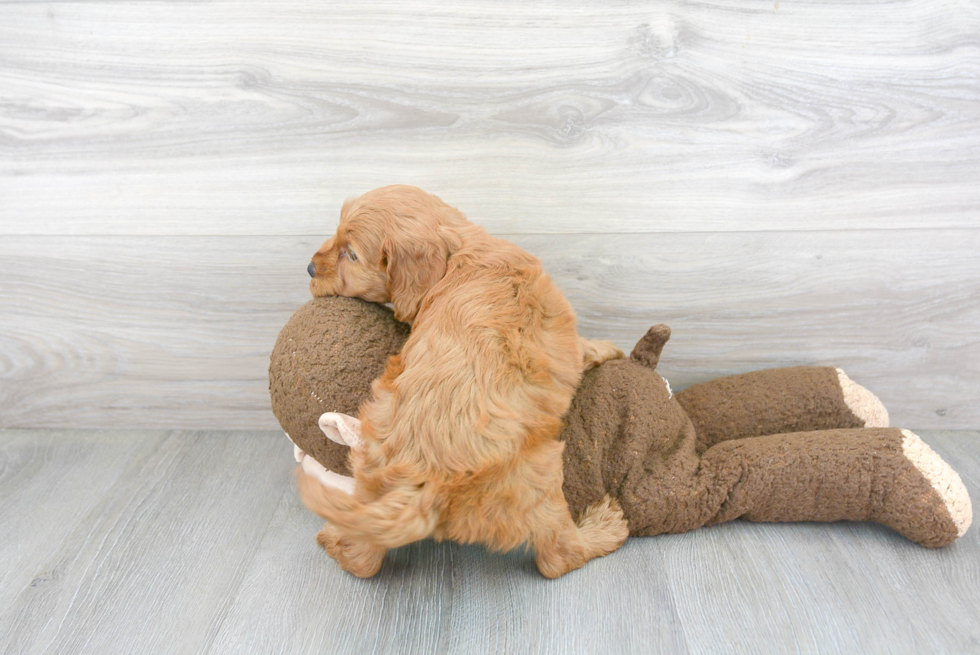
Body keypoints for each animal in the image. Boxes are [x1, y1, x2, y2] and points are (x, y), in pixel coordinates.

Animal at [300, 184, 628, 580]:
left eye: (350, 254)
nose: (309, 267)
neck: (461, 252)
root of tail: (423, 479)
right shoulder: (564, 342)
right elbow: (582, 348)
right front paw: (609, 347)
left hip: (371, 456)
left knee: (361, 556)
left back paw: (333, 537)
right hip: (540, 478)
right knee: (558, 556)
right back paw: (604, 527)